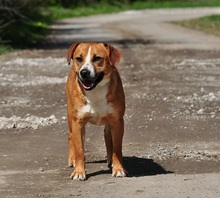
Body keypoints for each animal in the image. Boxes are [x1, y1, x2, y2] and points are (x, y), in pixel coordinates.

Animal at [65, 42, 125, 181]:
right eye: (79, 58)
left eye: (97, 58)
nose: (84, 72)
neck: (96, 91)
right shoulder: (77, 122)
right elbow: (80, 150)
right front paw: (79, 171)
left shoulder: (117, 121)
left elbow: (117, 148)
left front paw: (118, 168)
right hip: (70, 116)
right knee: (70, 135)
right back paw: (72, 159)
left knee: (107, 135)